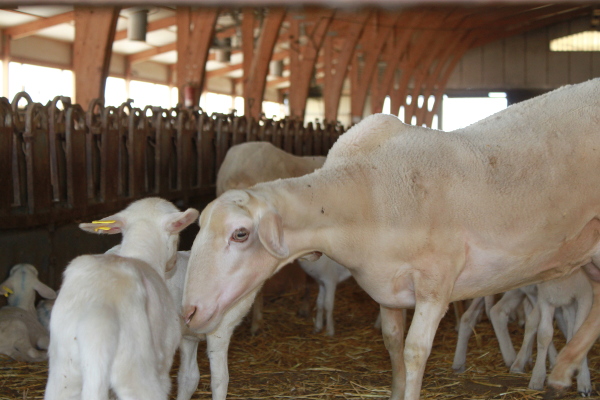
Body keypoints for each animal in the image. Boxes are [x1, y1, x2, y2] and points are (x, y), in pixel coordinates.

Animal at [45, 197, 199, 400]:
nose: (172, 264)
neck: (141, 254)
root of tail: (98, 316)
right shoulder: (164, 357)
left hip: (64, 371)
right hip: (134, 369)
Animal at [180, 79, 600, 400]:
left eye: (240, 233)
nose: (188, 313)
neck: (366, 191)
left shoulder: (436, 282)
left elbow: (414, 352)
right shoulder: (387, 286)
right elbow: (392, 343)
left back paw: (561, 371)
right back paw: (562, 373)